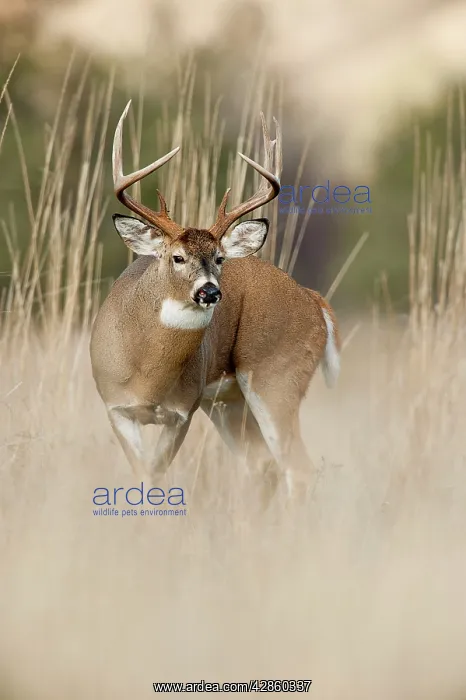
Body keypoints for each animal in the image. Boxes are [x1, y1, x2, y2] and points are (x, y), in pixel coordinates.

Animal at [90, 101, 340, 500]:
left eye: (219, 258)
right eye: (177, 257)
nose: (210, 291)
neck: (148, 375)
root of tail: (314, 299)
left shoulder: (183, 410)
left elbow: (154, 477)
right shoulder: (115, 406)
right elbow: (141, 476)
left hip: (277, 377)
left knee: (297, 467)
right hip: (229, 402)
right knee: (263, 464)